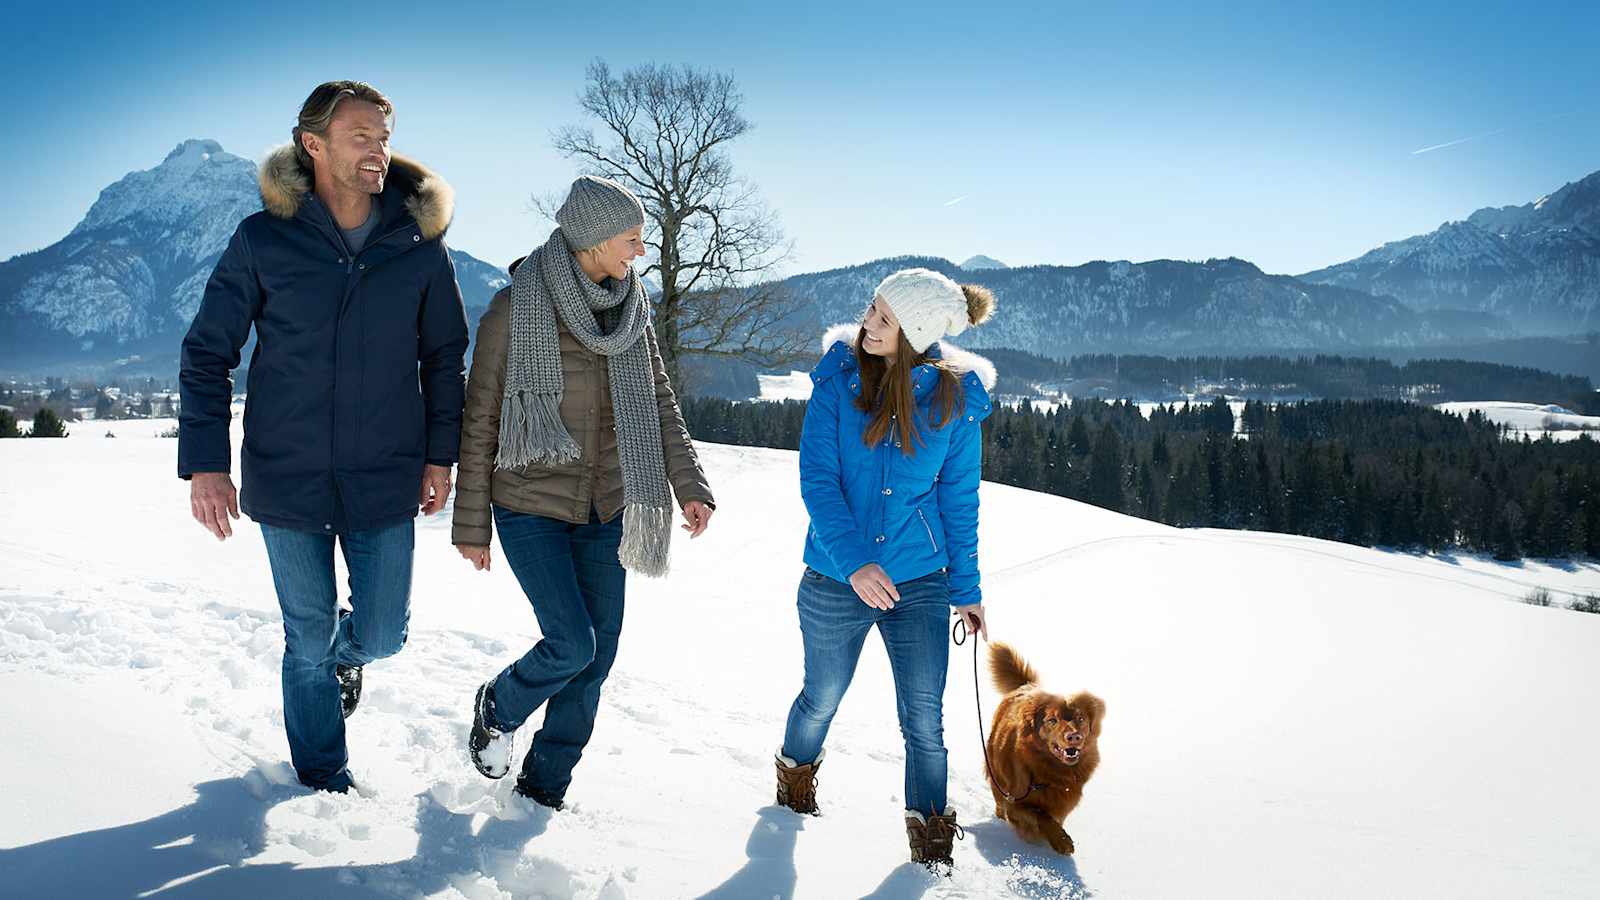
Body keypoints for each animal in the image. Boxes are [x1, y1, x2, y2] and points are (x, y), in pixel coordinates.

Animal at [979, 640, 1107, 851]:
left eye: (1080, 718)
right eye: (1052, 720)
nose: (1074, 736)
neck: (1055, 773)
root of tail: (1026, 685)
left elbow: (1050, 816)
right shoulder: (1015, 802)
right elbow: (1041, 815)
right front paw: (1061, 841)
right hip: (997, 777)